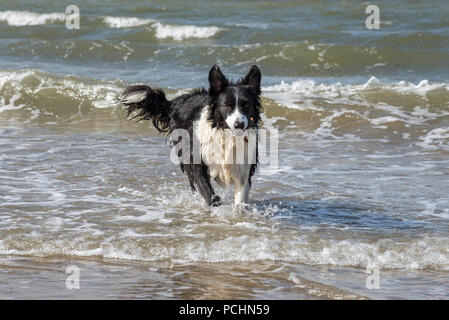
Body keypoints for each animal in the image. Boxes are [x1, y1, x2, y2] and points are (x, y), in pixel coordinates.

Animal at [119, 64, 260, 208]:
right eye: (227, 105)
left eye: (246, 105)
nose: (239, 124)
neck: (226, 135)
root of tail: (177, 102)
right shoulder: (198, 162)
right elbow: (208, 193)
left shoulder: (244, 169)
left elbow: (240, 200)